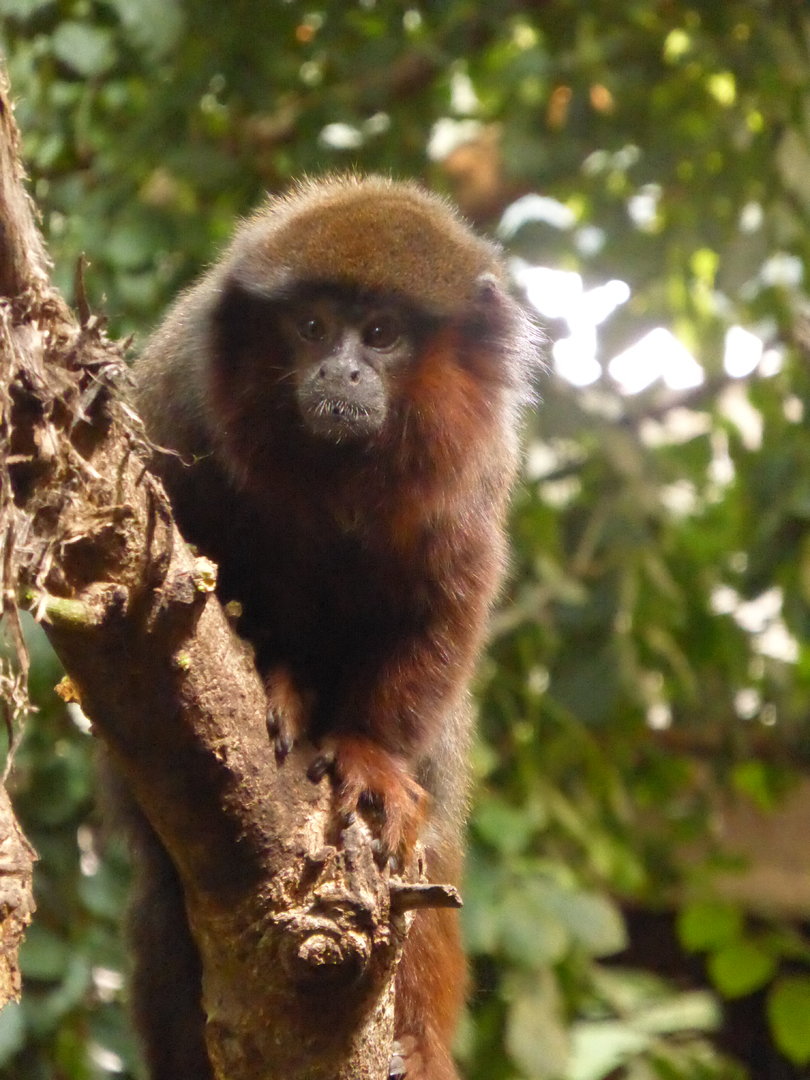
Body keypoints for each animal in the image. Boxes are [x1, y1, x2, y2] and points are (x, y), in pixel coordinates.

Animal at [121, 174, 535, 1080]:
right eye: (311, 327)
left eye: (380, 336)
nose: (339, 368)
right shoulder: (180, 412)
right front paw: (280, 680)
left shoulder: (471, 477)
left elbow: (443, 607)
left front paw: (367, 756)